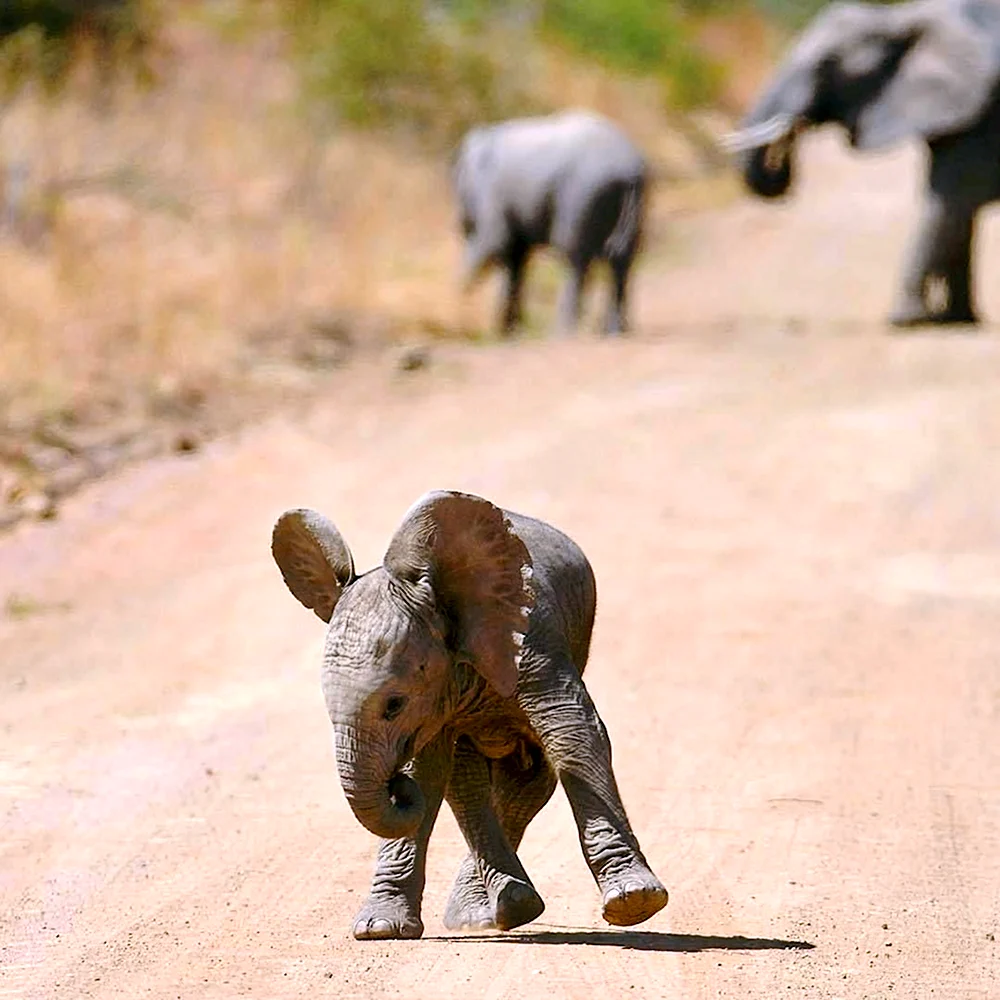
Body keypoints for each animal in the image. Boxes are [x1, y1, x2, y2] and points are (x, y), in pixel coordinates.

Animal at [270, 490, 668, 936]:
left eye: (394, 704)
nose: (394, 785)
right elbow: (428, 771)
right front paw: (379, 930)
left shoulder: (533, 642)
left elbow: (573, 733)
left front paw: (634, 902)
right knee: (467, 779)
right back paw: (496, 912)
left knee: (528, 778)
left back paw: (498, 912)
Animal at [454, 108, 648, 336]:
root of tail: (629, 169)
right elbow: (516, 257)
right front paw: (511, 331)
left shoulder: (490, 191)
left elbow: (496, 242)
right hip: (633, 202)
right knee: (622, 258)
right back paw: (614, 332)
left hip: (581, 194)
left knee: (574, 256)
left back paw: (563, 331)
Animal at [724, 0, 1000, 328]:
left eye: (825, 66)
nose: (789, 134)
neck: (899, 18)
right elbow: (958, 216)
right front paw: (956, 320)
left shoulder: (981, 115)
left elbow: (947, 206)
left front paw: (906, 322)